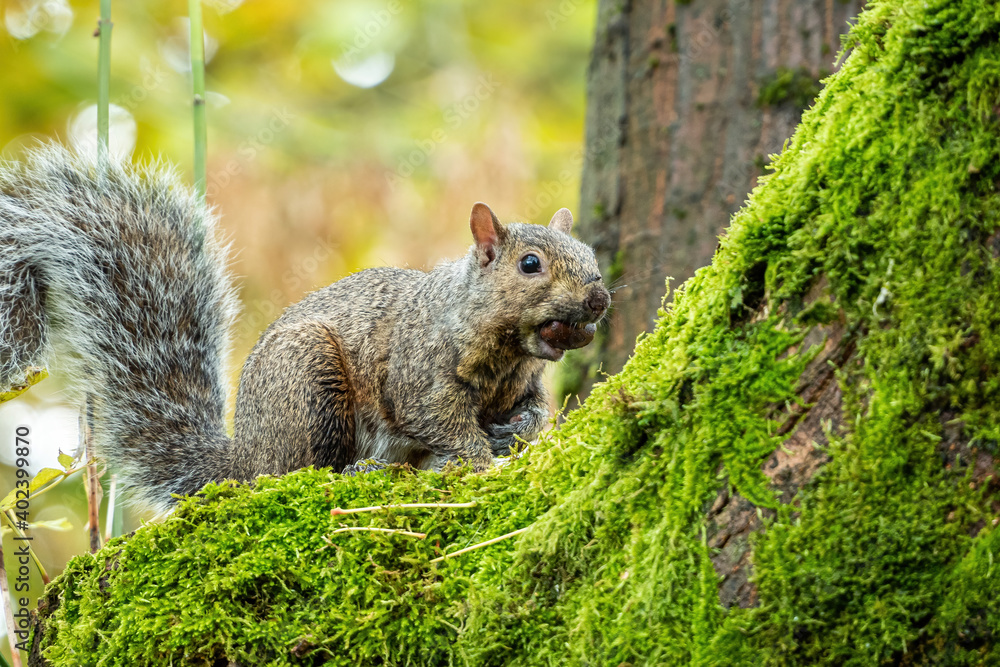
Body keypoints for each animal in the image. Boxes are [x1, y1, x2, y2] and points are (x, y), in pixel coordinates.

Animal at [0, 145, 610, 511]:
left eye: (591, 258)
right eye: (529, 264)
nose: (599, 298)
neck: (507, 351)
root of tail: (243, 460)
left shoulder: (523, 384)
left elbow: (533, 410)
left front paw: (518, 433)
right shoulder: (419, 372)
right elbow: (440, 419)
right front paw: (480, 462)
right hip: (307, 380)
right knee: (297, 471)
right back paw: (355, 471)